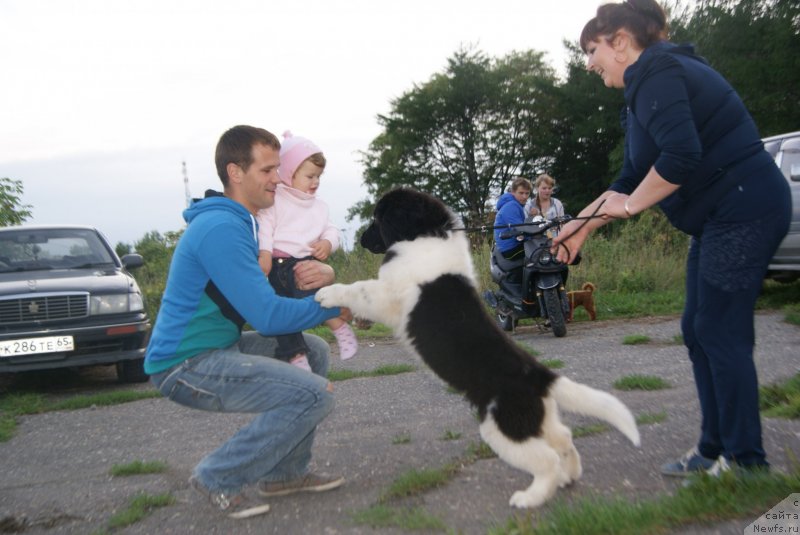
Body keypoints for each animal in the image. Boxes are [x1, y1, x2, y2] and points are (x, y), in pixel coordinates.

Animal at [316, 189, 640, 510]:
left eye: (376, 219)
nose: (359, 240)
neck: (426, 234)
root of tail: (539, 375)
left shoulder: (389, 294)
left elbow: (359, 289)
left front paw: (327, 294)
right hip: (537, 418)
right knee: (563, 437)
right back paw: (569, 476)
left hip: (503, 426)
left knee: (546, 459)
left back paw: (530, 497)